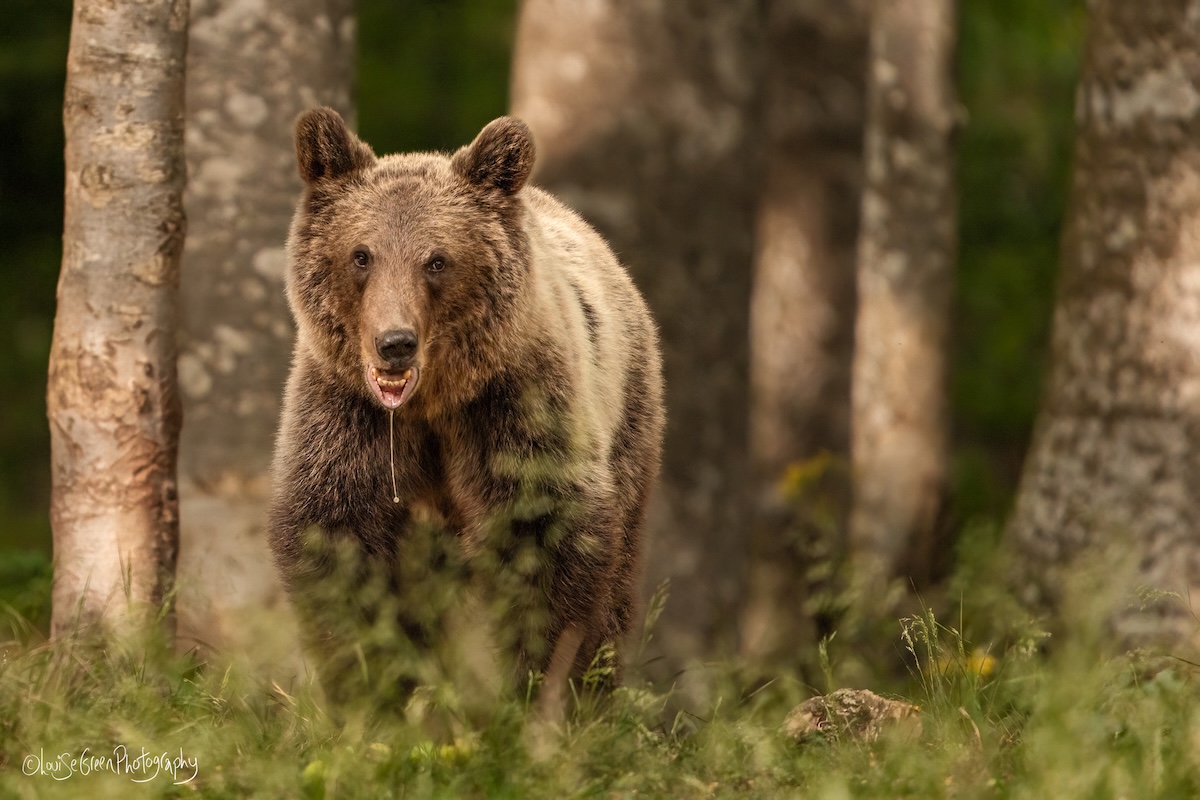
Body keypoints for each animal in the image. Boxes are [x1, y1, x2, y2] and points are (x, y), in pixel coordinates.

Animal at [267, 107, 665, 715]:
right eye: (361, 254)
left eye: (437, 260)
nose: (395, 342)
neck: (434, 403)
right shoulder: (351, 414)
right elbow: (338, 532)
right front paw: (374, 687)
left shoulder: (514, 406)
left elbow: (545, 538)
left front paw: (537, 690)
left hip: (628, 421)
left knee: (619, 571)